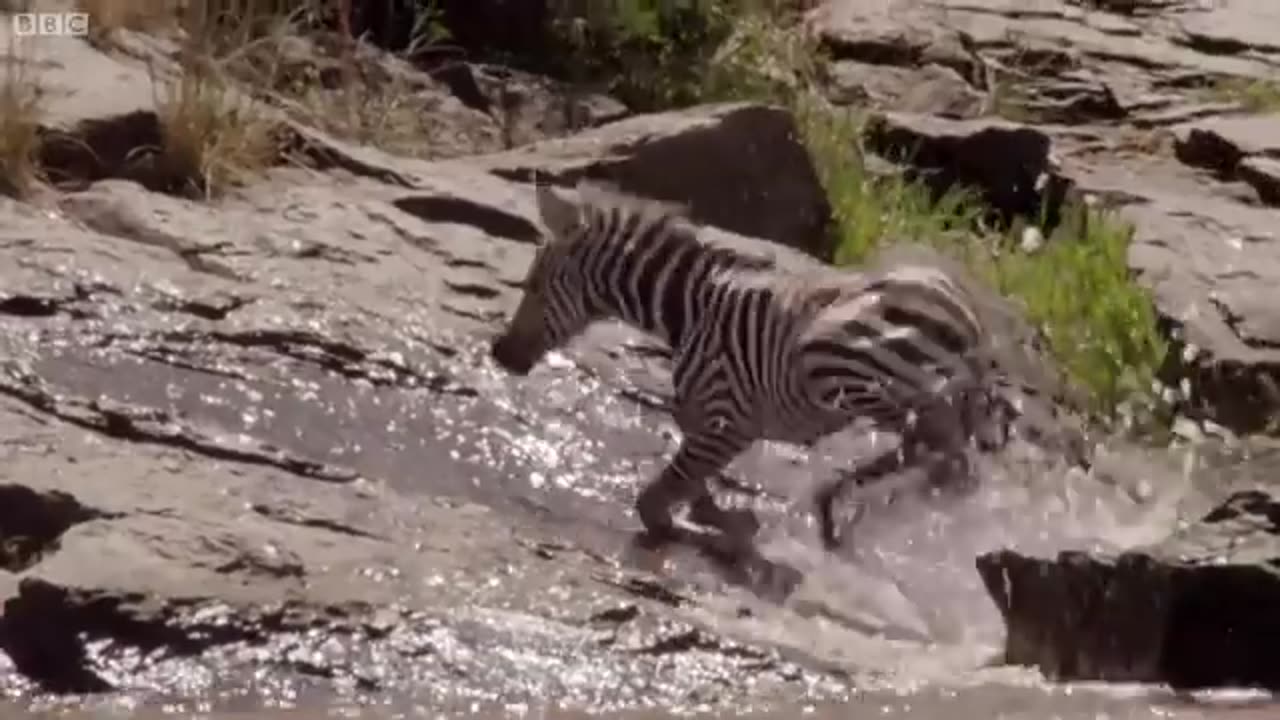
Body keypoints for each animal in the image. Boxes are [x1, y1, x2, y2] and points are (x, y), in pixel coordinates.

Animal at [494, 179, 1064, 548]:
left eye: (535, 284)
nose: (499, 354)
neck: (691, 311)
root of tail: (963, 314)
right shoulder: (707, 418)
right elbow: (689, 480)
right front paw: (723, 518)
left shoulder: (728, 418)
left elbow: (658, 500)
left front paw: (715, 529)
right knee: (939, 450)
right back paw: (838, 507)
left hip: (838, 360)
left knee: (939, 448)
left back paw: (847, 506)